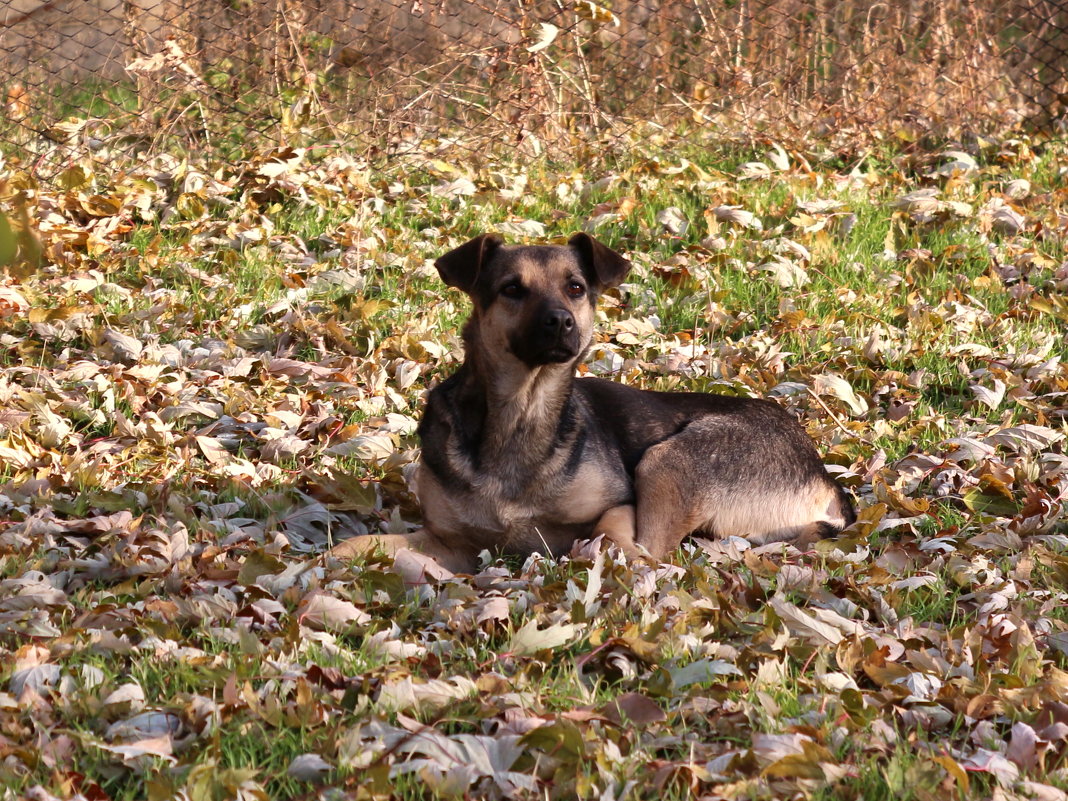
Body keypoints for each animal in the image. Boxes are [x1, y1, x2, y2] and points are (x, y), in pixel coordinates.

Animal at [328, 231, 854, 572]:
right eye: (511, 289)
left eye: (575, 288)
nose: (561, 321)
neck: (522, 413)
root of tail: (824, 477)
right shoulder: (450, 544)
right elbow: (369, 543)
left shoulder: (621, 502)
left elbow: (613, 528)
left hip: (671, 458)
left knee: (655, 549)